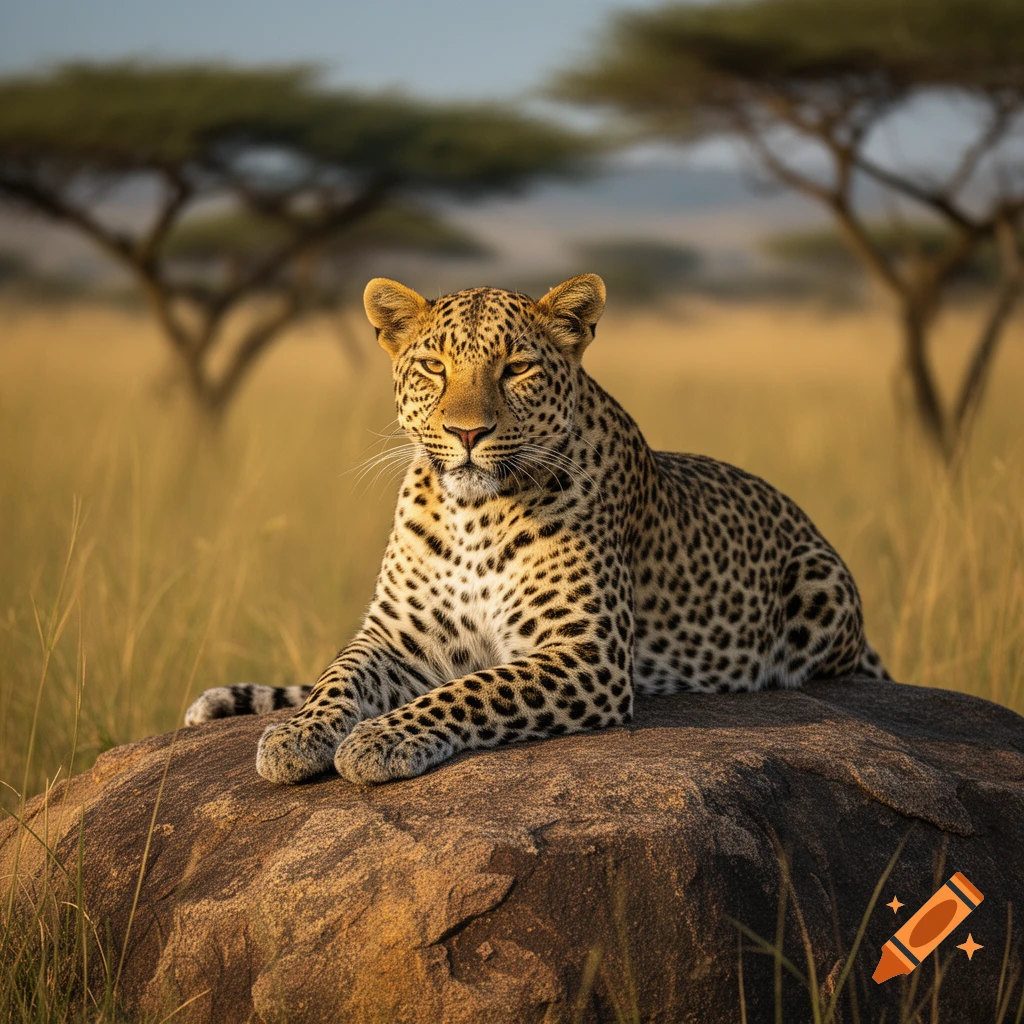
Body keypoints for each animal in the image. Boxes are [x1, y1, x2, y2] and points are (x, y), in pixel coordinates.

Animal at [184, 273, 890, 785]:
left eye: (517, 368)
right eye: (434, 367)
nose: (467, 433)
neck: (472, 515)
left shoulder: (585, 651)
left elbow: (474, 689)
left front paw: (379, 740)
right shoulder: (398, 636)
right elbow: (339, 676)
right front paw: (297, 735)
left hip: (819, 581)